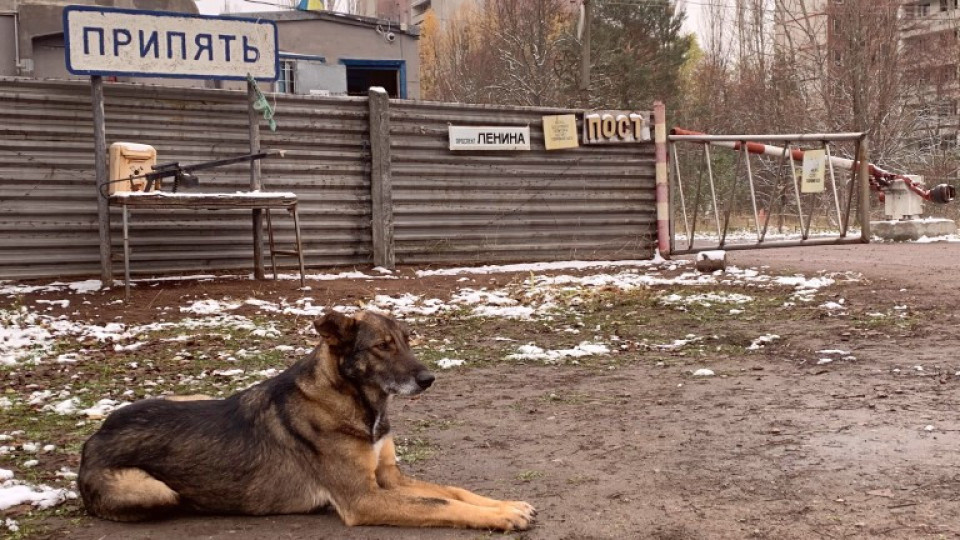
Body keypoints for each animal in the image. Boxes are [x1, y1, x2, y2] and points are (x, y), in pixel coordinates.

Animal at [79, 310, 536, 528]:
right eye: (382, 346)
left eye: (407, 340)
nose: (429, 379)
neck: (356, 402)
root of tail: (92, 440)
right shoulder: (364, 498)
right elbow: (441, 503)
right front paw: (500, 517)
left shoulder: (388, 478)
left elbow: (454, 491)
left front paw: (505, 505)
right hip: (153, 491)